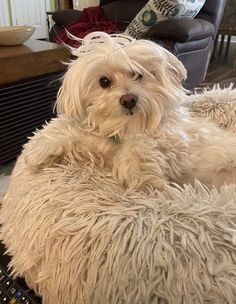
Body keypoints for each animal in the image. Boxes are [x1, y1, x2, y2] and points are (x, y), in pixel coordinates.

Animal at [23, 32, 236, 191]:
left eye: (137, 74)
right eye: (104, 81)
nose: (128, 99)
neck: (125, 127)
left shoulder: (175, 141)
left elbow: (141, 143)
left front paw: (141, 179)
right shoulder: (100, 146)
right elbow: (75, 135)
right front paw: (42, 149)